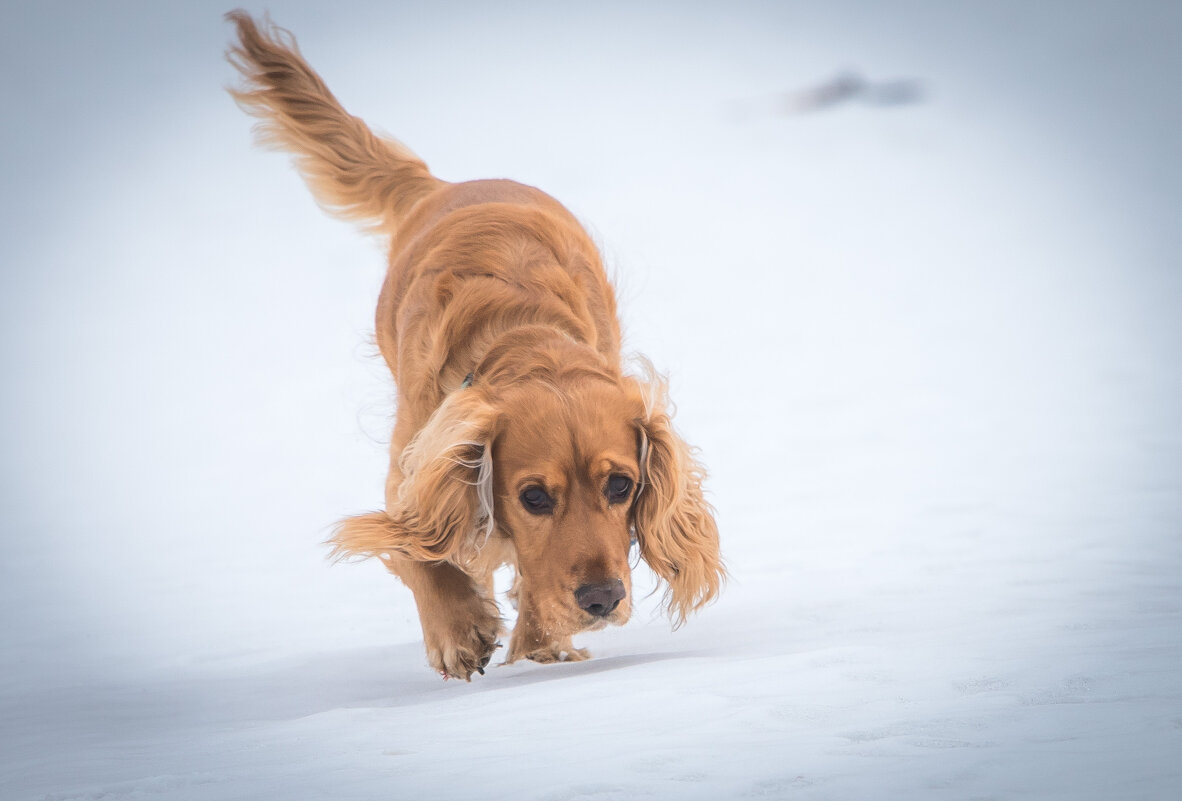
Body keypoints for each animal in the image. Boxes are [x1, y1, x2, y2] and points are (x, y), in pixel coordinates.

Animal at [222, 9, 718, 680]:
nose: (601, 599)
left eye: (622, 486)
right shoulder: (416, 463)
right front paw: (459, 630)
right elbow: (418, 547)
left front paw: (539, 638)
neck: (526, 339)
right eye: (533, 497)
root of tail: (440, 185)